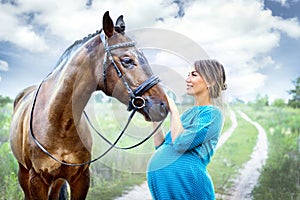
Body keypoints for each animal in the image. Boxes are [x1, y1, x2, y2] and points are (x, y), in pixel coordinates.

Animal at [9, 11, 169, 199]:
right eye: (127, 60)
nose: (163, 105)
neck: (59, 122)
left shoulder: (81, 178)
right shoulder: (37, 180)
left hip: (57, 181)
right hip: (23, 173)